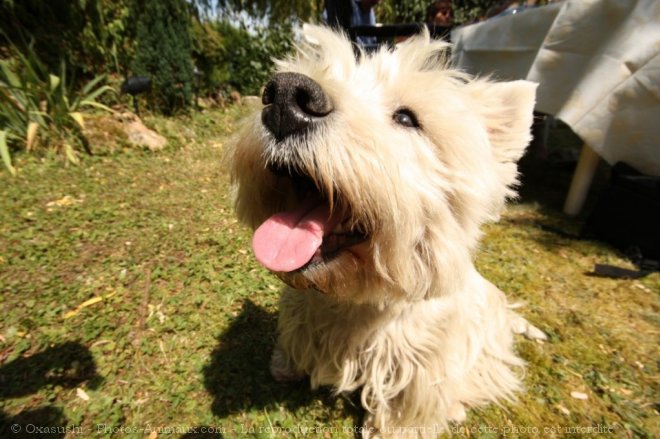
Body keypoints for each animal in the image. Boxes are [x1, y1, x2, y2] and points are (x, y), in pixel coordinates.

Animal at [229, 25, 544, 438]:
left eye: (408, 118)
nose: (284, 95)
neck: (355, 301)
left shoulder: (423, 360)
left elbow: (410, 399)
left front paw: (395, 429)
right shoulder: (302, 311)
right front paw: (285, 363)